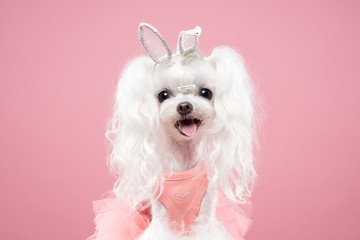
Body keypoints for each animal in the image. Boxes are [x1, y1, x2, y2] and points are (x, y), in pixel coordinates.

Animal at [88, 23, 258, 240]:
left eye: (206, 93)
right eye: (163, 95)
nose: (184, 106)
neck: (183, 161)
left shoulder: (204, 217)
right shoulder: (161, 219)